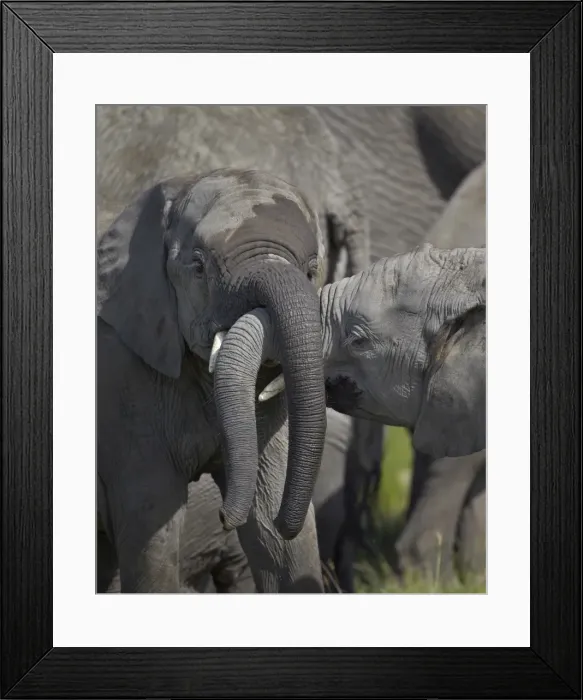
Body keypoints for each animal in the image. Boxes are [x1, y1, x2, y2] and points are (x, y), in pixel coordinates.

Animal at [97, 168, 329, 593]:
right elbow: (152, 532)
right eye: (199, 267)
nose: (223, 517)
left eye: (310, 270)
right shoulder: (120, 377)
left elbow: (277, 538)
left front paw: (276, 524)